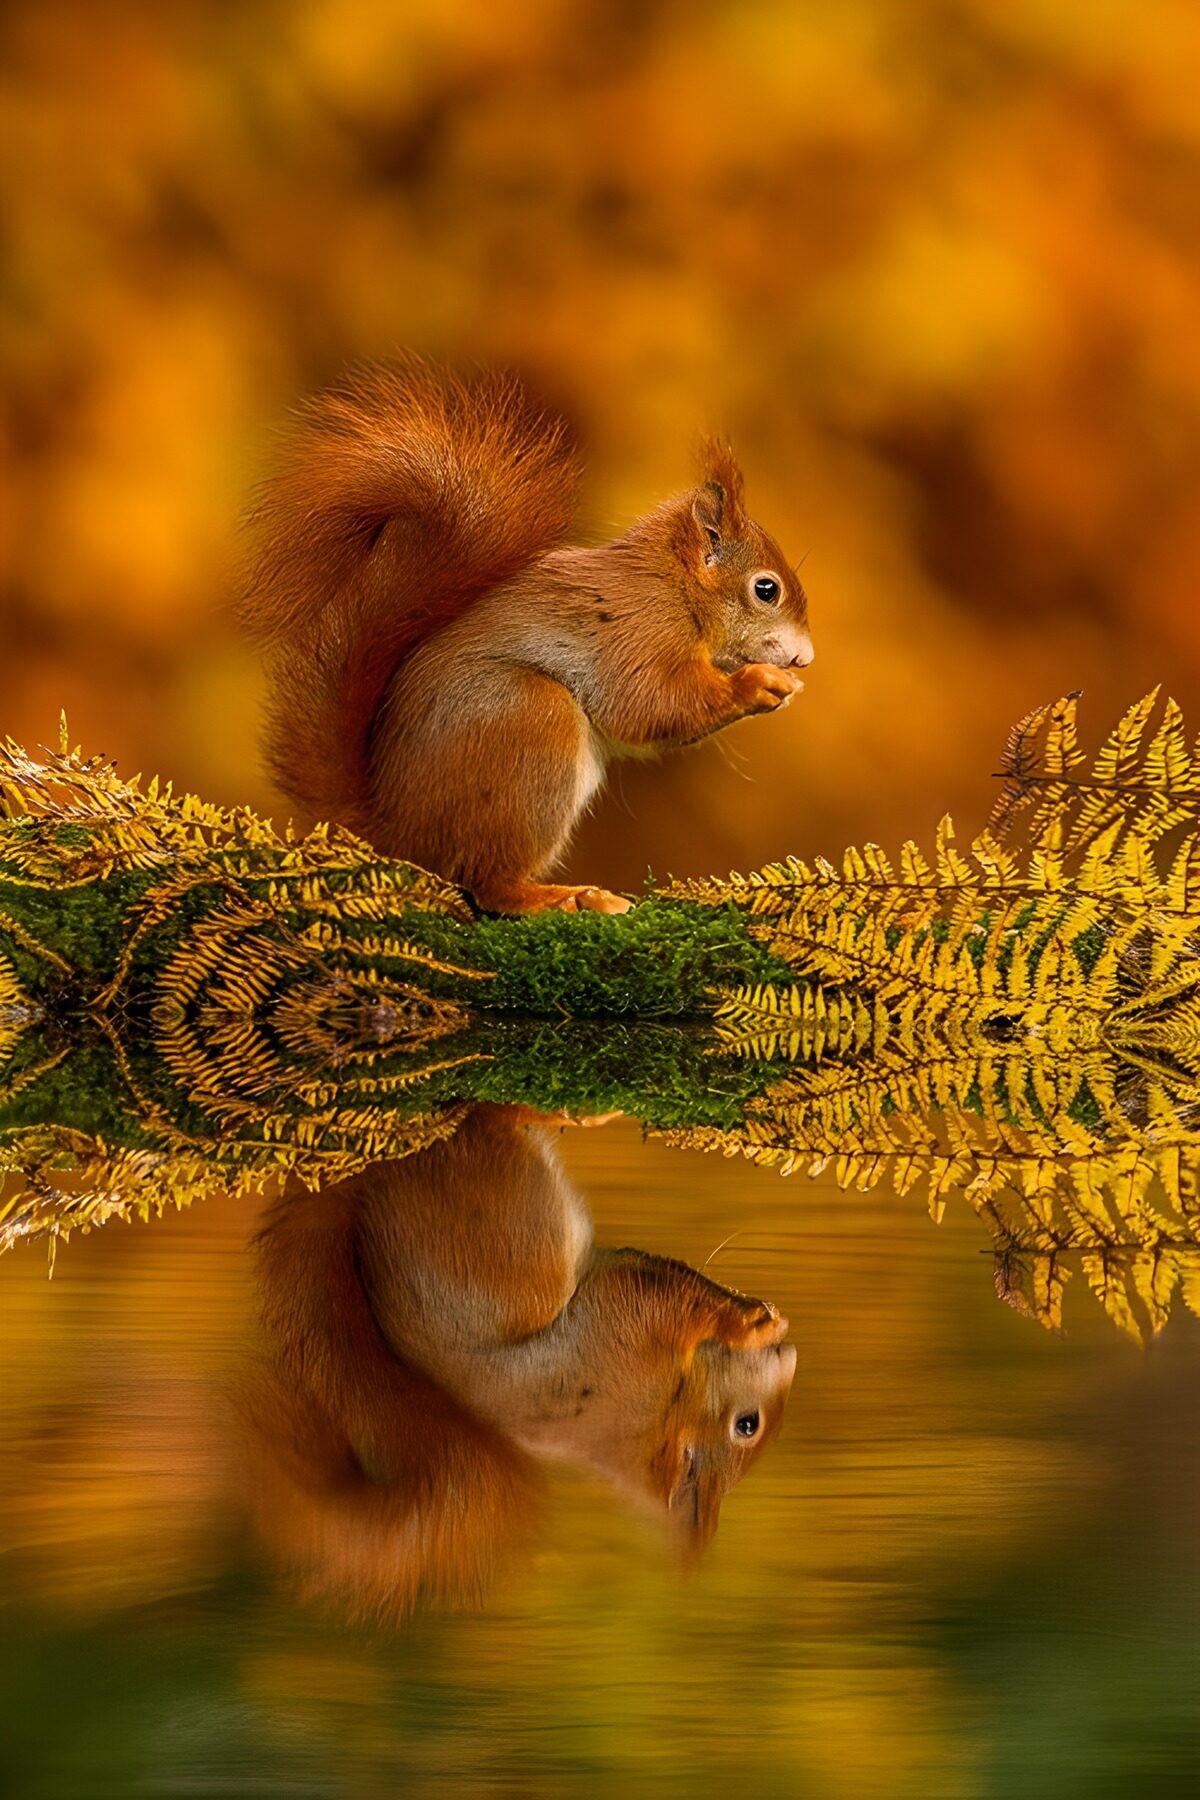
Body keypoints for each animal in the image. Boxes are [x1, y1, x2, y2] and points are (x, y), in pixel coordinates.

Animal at [241, 357, 813, 913]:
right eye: (766, 589)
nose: (805, 658)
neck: (675, 587)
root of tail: (397, 832)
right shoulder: (640, 634)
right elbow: (649, 706)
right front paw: (758, 685)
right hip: (529, 726)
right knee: (488, 884)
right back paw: (563, 898)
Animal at [243, 1105, 796, 1617]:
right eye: (747, 1425)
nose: (789, 1358)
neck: (654, 1416)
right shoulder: (631, 1323)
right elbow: (679, 1292)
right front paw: (752, 1321)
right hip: (503, 1223)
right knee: (488, 1123)